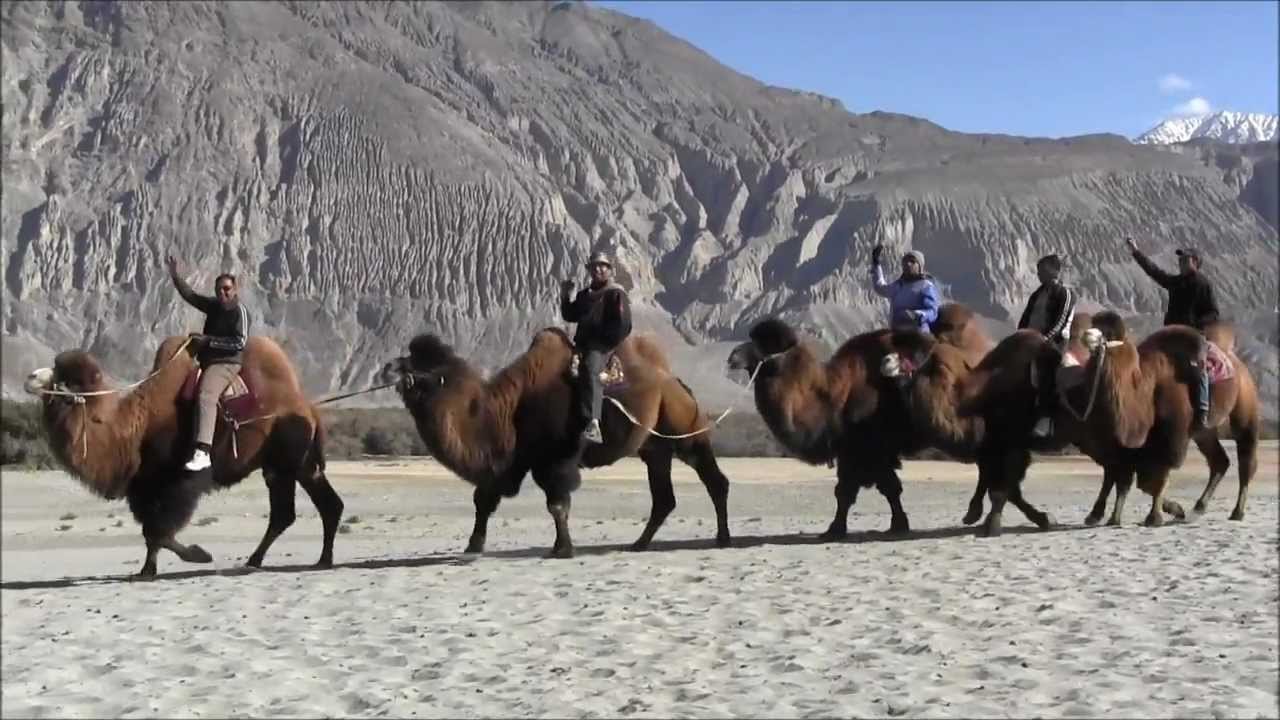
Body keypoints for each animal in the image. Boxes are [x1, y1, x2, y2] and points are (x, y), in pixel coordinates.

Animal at [23, 336, 342, 578]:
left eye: (65, 381)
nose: (30, 376)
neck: (134, 430)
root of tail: (308, 407)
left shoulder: (178, 480)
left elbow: (159, 530)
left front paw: (198, 555)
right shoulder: (144, 486)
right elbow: (152, 532)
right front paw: (149, 569)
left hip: (283, 463)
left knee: (285, 512)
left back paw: (261, 560)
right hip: (299, 464)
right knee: (323, 505)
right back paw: (317, 559)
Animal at [377, 327, 731, 558]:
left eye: (420, 364)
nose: (386, 367)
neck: (506, 410)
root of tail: (677, 383)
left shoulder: (556, 459)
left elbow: (557, 504)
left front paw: (562, 548)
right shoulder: (511, 461)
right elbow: (484, 500)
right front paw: (473, 546)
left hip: (685, 429)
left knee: (714, 479)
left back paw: (723, 538)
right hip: (654, 447)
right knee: (664, 498)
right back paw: (639, 544)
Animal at [724, 303, 993, 539]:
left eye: (767, 344)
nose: (732, 357)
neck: (831, 396)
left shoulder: (867, 450)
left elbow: (864, 490)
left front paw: (838, 529)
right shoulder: (855, 452)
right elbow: (865, 491)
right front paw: (889, 525)